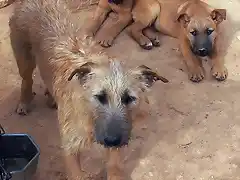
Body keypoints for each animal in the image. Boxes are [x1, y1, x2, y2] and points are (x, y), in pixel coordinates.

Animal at [9, 0, 169, 180]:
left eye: (129, 98)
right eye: (100, 96)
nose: (112, 140)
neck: (89, 115)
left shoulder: (114, 149)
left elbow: (114, 167)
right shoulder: (71, 148)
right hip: (24, 58)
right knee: (26, 80)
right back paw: (24, 102)